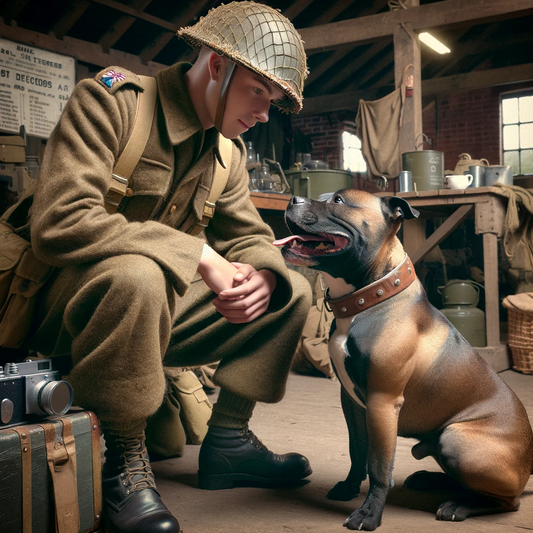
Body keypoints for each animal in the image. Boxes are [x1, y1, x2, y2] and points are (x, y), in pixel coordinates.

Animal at [274, 190, 532, 528]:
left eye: (339, 201)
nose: (293, 199)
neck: (370, 297)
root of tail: (527, 466)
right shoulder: (352, 403)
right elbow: (357, 450)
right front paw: (349, 487)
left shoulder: (382, 402)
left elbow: (379, 466)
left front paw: (369, 514)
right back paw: (429, 480)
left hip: (456, 439)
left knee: (508, 501)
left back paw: (459, 506)